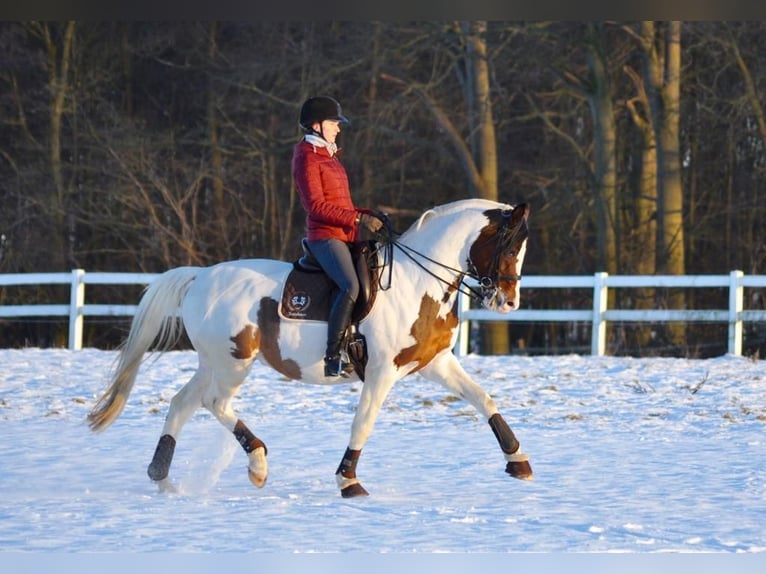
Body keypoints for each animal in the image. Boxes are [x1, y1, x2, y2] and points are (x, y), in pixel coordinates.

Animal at [87, 198, 533, 498]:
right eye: (510, 248)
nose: (508, 303)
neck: (415, 284)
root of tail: (201, 277)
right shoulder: (381, 371)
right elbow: (363, 423)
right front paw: (348, 480)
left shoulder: (435, 363)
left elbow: (483, 399)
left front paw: (518, 461)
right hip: (233, 363)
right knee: (215, 403)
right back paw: (257, 463)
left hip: (212, 362)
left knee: (183, 404)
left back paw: (163, 478)